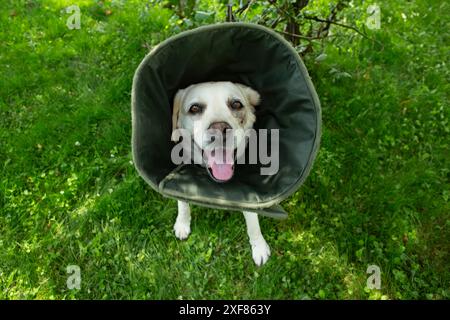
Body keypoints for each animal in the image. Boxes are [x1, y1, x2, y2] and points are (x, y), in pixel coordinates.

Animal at [170, 82, 270, 264]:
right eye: (195, 108)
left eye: (236, 104)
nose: (220, 129)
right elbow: (181, 199)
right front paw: (182, 222)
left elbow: (252, 217)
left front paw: (258, 245)